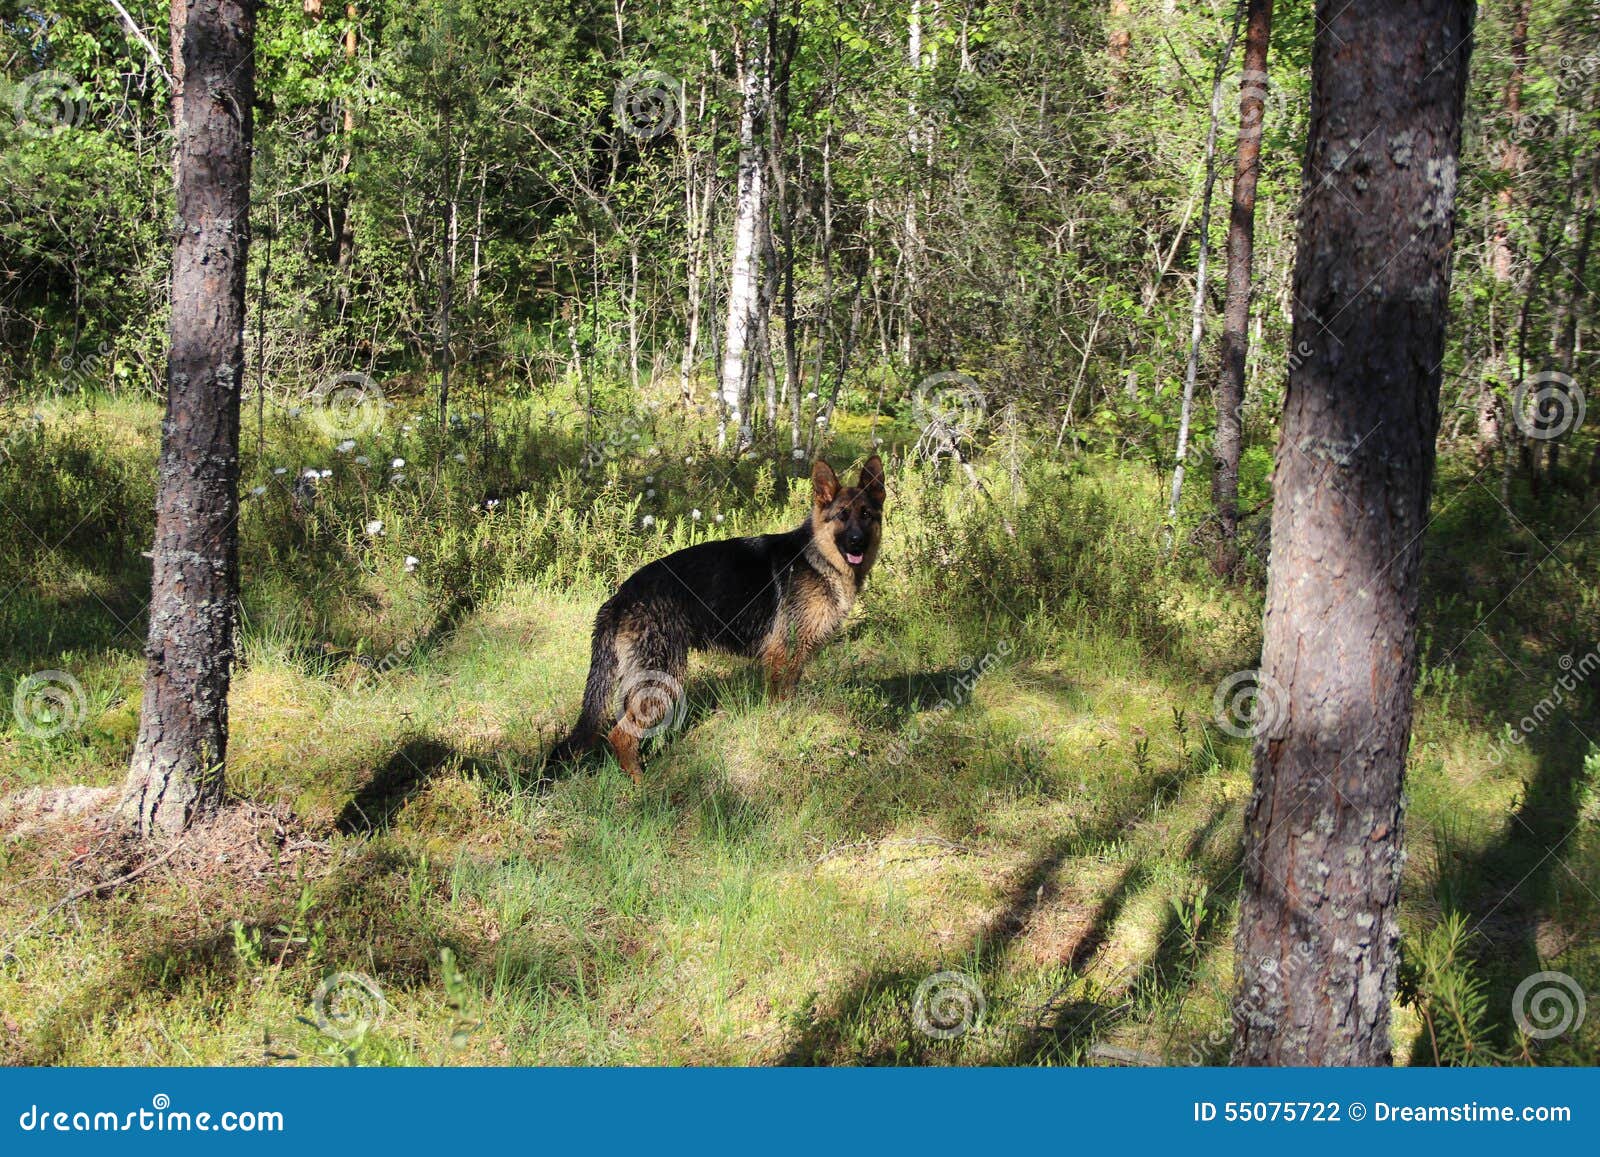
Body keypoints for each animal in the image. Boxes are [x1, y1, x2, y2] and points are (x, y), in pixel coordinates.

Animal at [556, 457, 889, 784]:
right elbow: (780, 704)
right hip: (663, 678)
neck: (818, 558)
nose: (857, 543)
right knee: (620, 735)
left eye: (866, 514)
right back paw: (640, 784)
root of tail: (621, 596)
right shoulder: (782, 657)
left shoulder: (794, 660)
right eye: (842, 516)